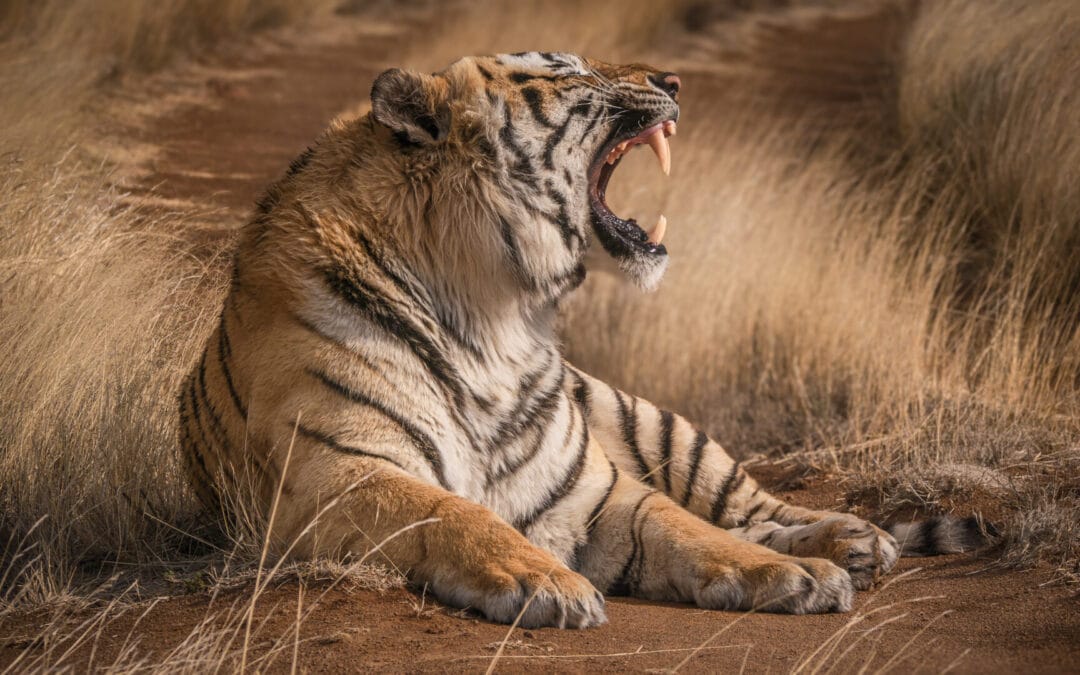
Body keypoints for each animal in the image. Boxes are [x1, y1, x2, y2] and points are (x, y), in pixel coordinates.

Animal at [178, 52, 987, 628]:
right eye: (564, 69)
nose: (673, 79)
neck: (497, 314)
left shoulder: (592, 489)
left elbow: (690, 528)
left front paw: (800, 576)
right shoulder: (337, 475)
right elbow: (459, 513)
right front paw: (544, 580)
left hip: (662, 424)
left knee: (752, 508)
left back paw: (853, 540)